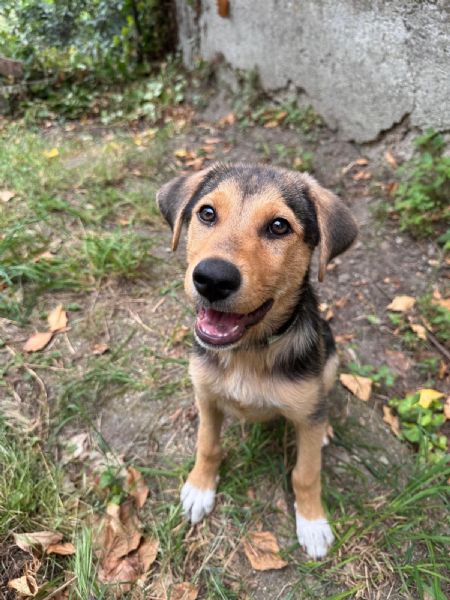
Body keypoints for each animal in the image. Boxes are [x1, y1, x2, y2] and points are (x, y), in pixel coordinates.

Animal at [156, 163, 356, 556]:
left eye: (279, 226)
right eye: (207, 213)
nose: (212, 278)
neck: (248, 353)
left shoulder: (306, 409)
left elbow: (306, 473)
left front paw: (312, 522)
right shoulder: (206, 396)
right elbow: (207, 445)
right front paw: (200, 487)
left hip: (329, 358)